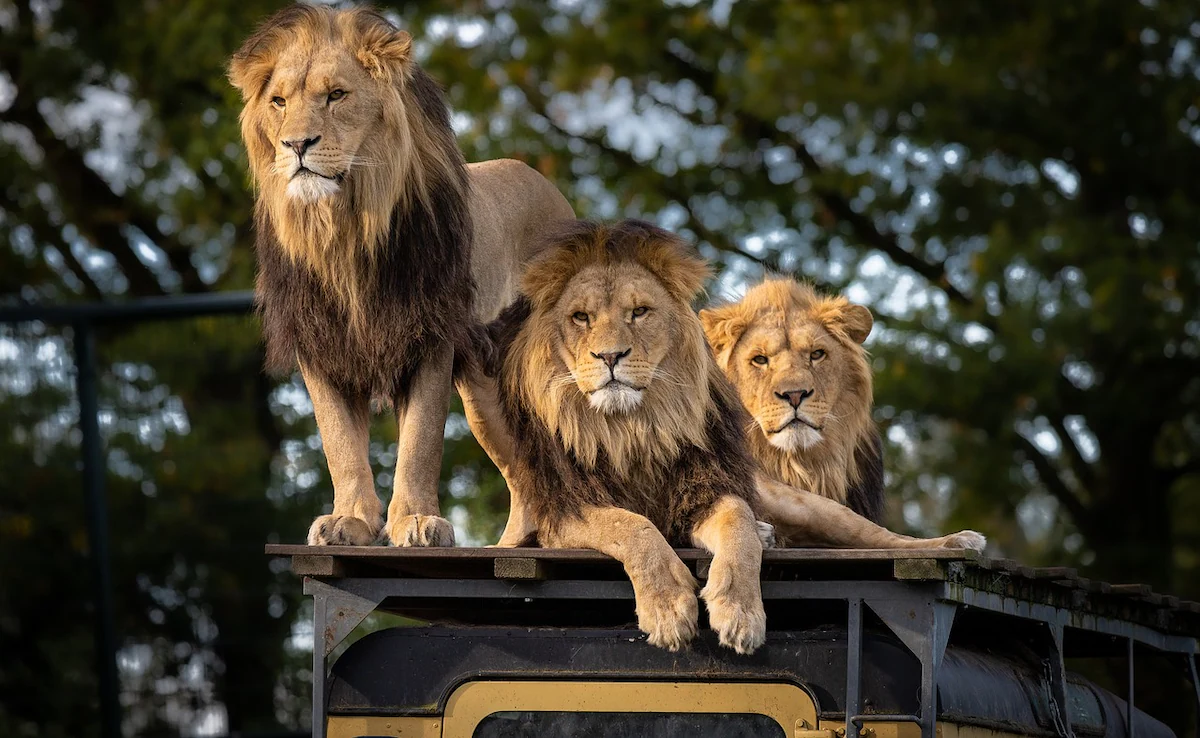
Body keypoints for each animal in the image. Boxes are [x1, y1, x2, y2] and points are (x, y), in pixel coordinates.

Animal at [231, 4, 578, 549]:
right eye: (279, 102)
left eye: (336, 95)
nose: (296, 144)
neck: (344, 231)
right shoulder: (320, 342)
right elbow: (339, 443)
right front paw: (349, 520)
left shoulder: (429, 335)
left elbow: (420, 440)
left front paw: (415, 520)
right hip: (485, 394)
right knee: (524, 475)